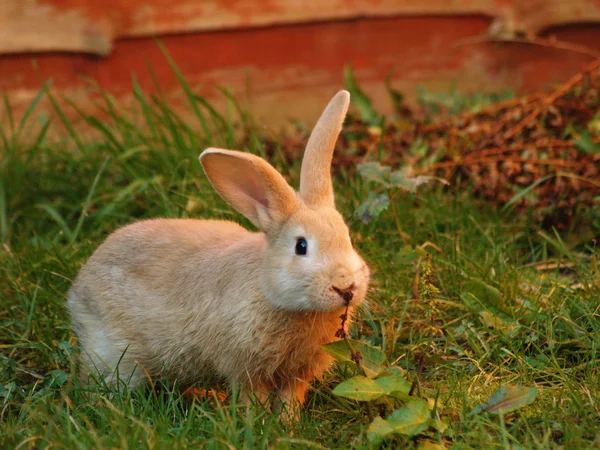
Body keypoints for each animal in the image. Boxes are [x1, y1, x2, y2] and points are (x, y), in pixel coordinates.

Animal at [69, 90, 370, 414]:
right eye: (301, 246)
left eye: (348, 237)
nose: (346, 287)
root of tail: (79, 287)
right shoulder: (243, 365)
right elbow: (253, 396)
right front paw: (258, 420)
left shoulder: (297, 372)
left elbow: (291, 398)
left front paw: (287, 422)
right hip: (116, 354)